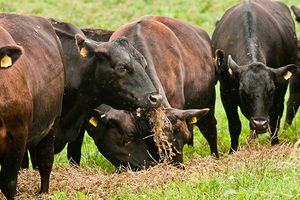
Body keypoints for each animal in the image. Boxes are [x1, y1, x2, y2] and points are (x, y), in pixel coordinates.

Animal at [212, 0, 298, 152]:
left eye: (271, 91)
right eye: (242, 91)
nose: (259, 123)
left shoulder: (279, 91)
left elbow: (274, 120)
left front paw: (275, 144)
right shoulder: (225, 92)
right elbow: (234, 124)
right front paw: (232, 150)